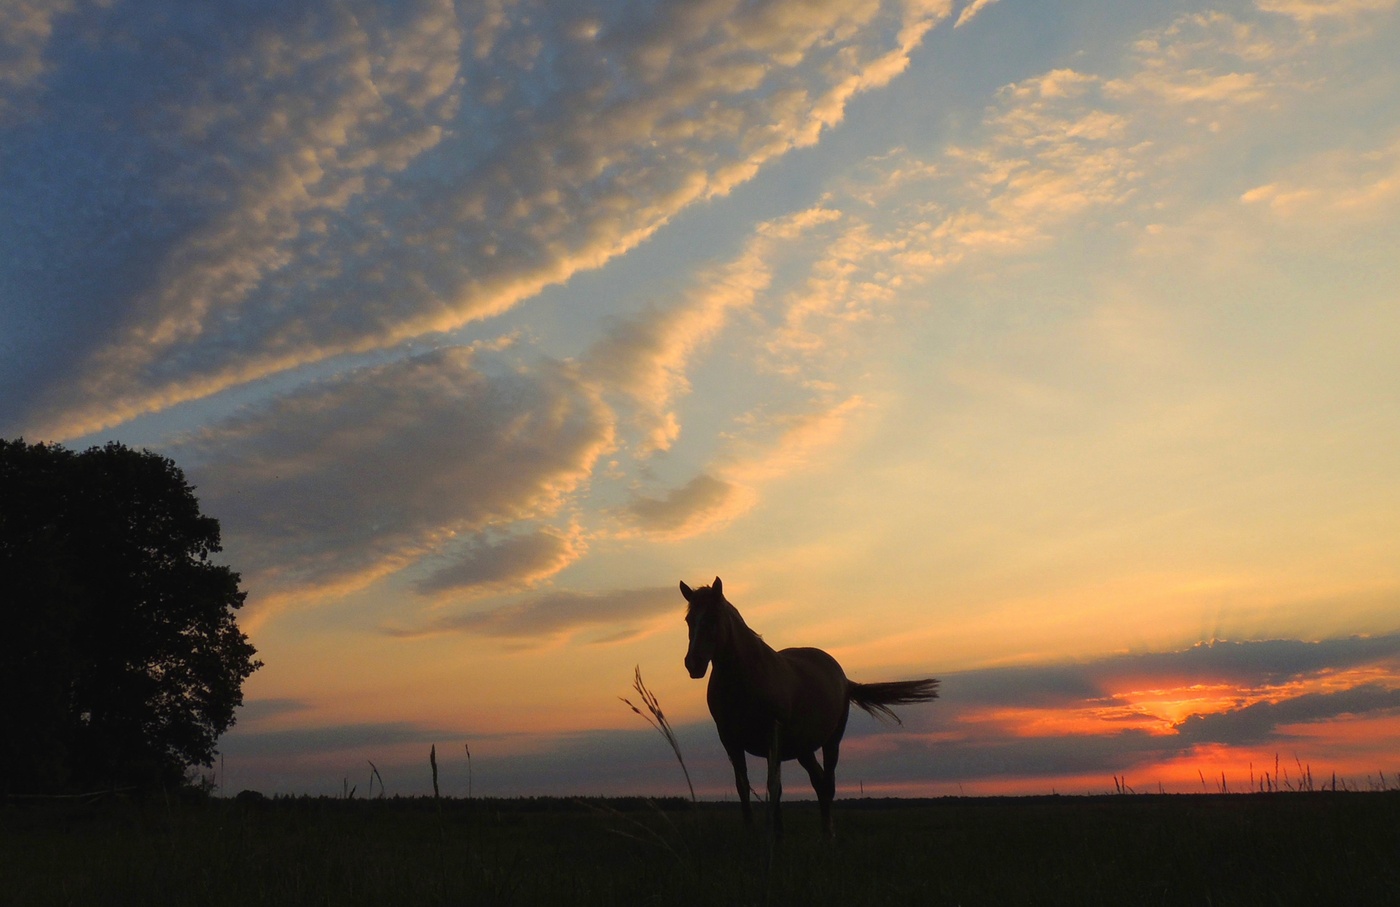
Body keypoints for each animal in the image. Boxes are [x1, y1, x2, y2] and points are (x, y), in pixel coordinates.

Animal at [680, 576, 940, 834]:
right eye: (689, 620)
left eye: (713, 617)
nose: (693, 663)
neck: (746, 678)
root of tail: (842, 677)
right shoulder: (730, 742)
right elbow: (743, 788)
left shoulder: (772, 739)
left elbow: (774, 788)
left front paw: (776, 836)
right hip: (803, 749)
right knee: (819, 782)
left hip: (831, 742)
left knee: (827, 785)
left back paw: (829, 835)